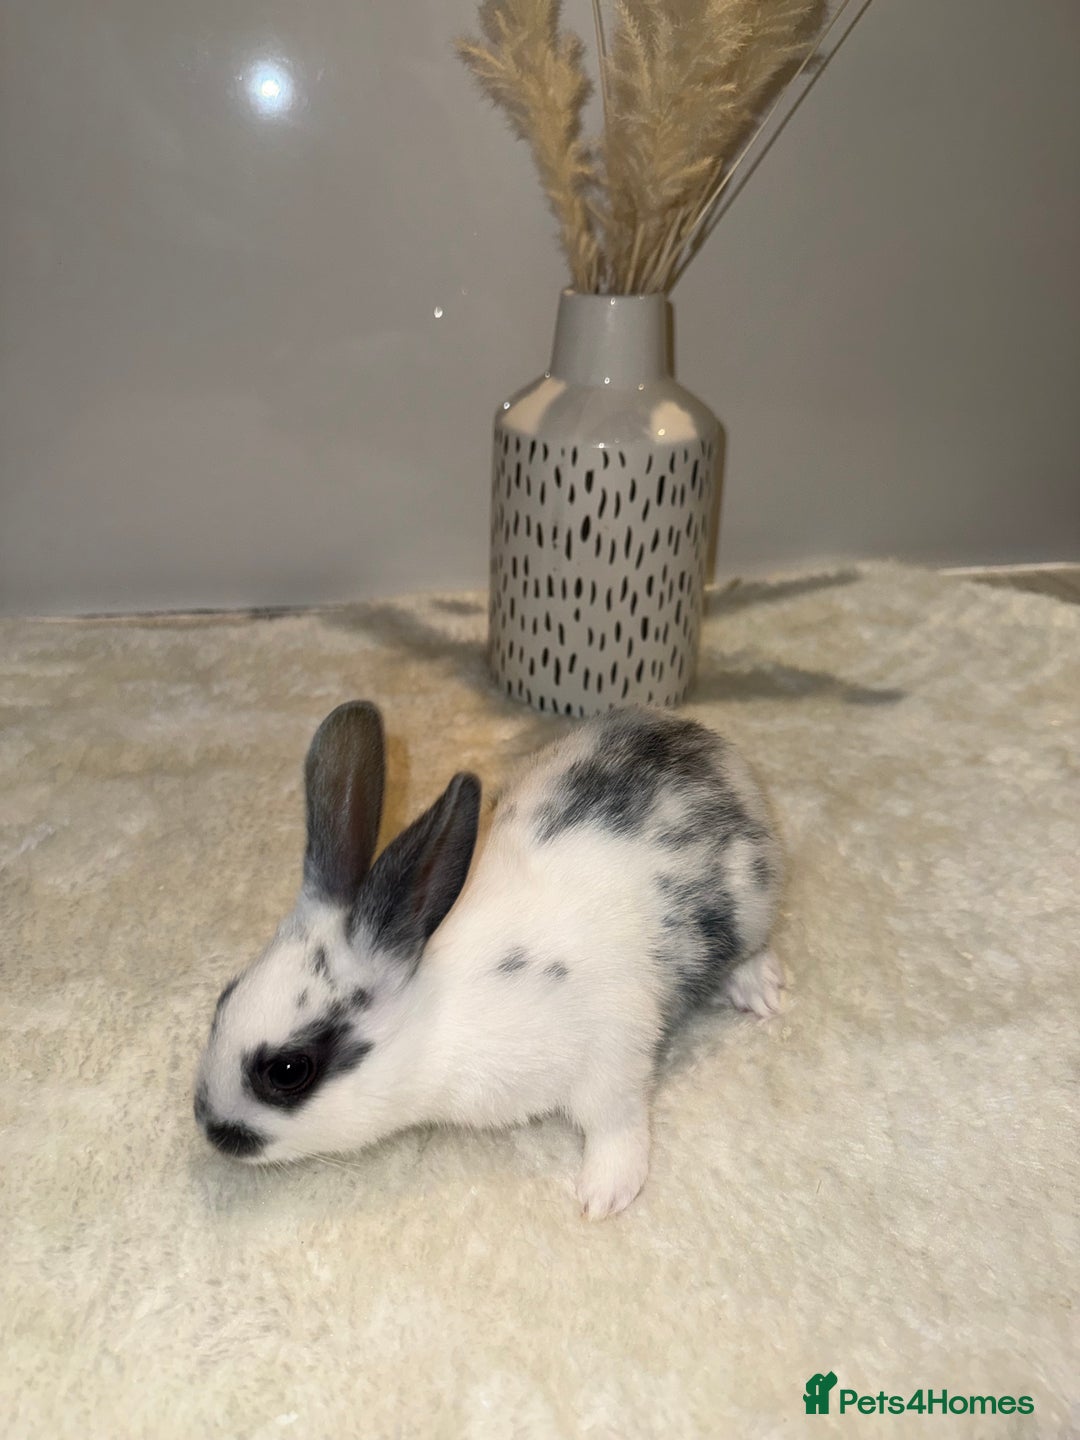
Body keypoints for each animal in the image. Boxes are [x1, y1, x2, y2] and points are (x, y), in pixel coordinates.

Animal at [194, 700, 784, 1218]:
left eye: (288, 1071)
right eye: (223, 997)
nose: (209, 1129)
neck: (436, 1013)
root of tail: (707, 744)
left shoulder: (612, 1048)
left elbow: (616, 1122)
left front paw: (604, 1194)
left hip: (750, 904)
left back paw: (760, 990)